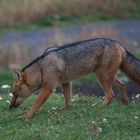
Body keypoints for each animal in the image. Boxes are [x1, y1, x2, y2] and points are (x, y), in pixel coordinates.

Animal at [9, 38, 140, 120]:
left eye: (15, 93)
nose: (10, 108)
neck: (42, 67)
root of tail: (117, 43)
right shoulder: (66, 82)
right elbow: (68, 99)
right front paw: (64, 111)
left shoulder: (48, 89)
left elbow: (35, 105)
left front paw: (26, 117)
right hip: (109, 77)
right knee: (122, 85)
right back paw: (125, 103)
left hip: (101, 76)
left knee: (110, 94)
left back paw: (99, 107)